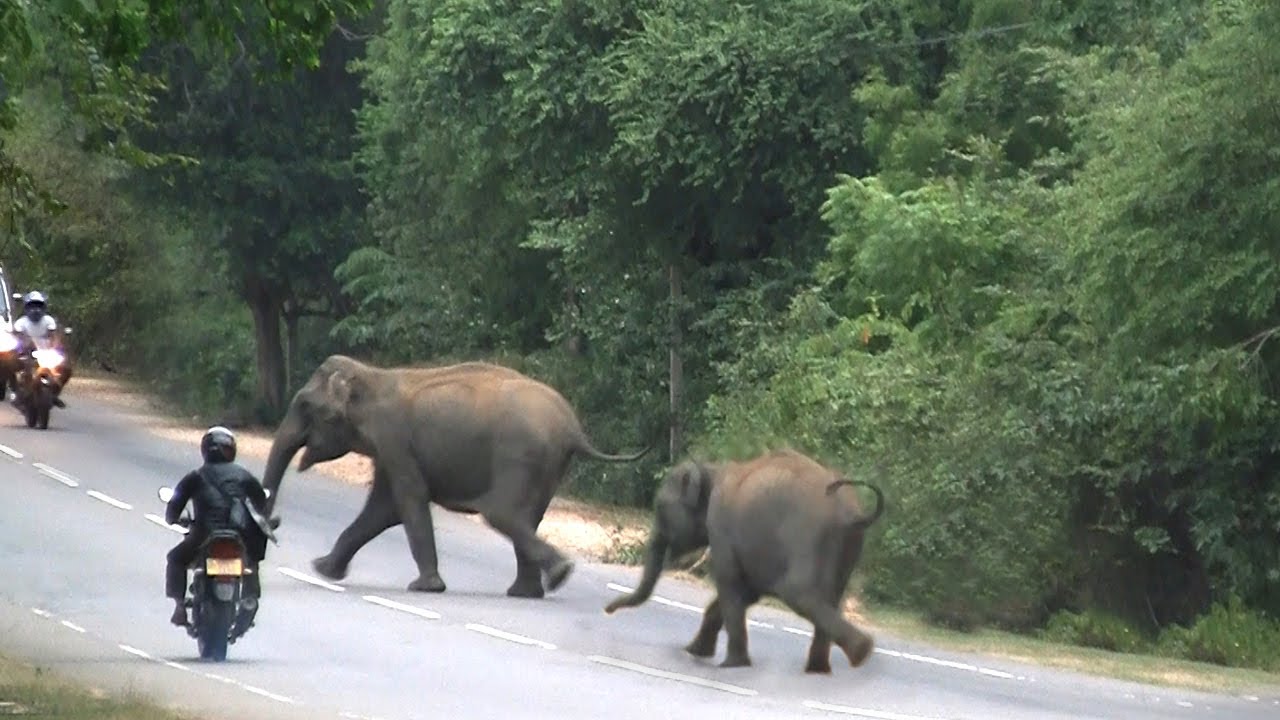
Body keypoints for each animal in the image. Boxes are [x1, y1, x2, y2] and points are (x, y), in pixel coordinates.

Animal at [261, 354, 651, 598]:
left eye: (305, 407)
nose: (275, 521)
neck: (373, 375)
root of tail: (573, 429)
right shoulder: (392, 451)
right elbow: (382, 509)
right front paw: (323, 569)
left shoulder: (395, 441)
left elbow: (406, 502)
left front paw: (425, 588)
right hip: (547, 465)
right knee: (526, 518)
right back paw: (531, 590)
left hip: (520, 456)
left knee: (502, 514)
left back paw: (558, 575)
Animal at [604, 449, 884, 673]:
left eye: (660, 508)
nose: (607, 610)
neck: (711, 468)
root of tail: (852, 513)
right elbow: (747, 592)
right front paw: (694, 651)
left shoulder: (720, 527)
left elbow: (730, 582)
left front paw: (731, 665)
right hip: (847, 546)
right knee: (831, 596)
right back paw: (822, 668)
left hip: (808, 536)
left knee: (799, 593)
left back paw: (860, 653)